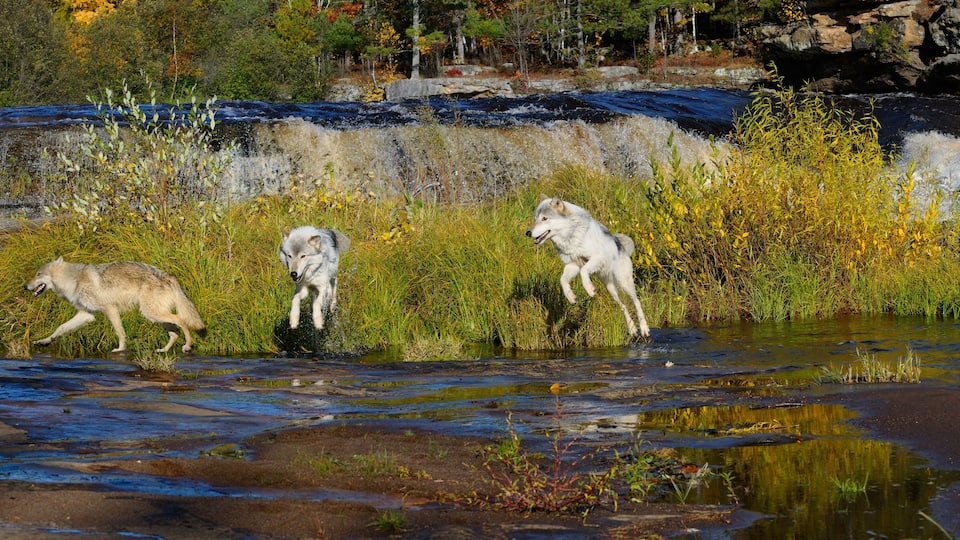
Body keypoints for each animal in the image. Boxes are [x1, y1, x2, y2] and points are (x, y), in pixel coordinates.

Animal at [26, 257, 206, 353]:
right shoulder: (87, 315)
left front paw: (120, 349)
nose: (25, 287)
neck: (73, 281)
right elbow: (60, 328)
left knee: (182, 321)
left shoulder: (110, 309)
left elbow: (120, 332)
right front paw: (43, 341)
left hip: (152, 314)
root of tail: (166, 275)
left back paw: (188, 346)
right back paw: (163, 350)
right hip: (155, 317)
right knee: (175, 332)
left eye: (38, 274)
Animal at [526, 195, 651, 339]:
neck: (571, 236)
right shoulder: (572, 264)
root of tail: (621, 246)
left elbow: (584, 271)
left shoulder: (596, 258)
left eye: (545, 218)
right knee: (623, 306)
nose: (528, 233)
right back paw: (632, 329)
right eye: (536, 219)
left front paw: (590, 289)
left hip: (624, 284)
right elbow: (563, 280)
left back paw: (644, 329)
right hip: (611, 290)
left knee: (637, 302)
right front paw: (571, 296)